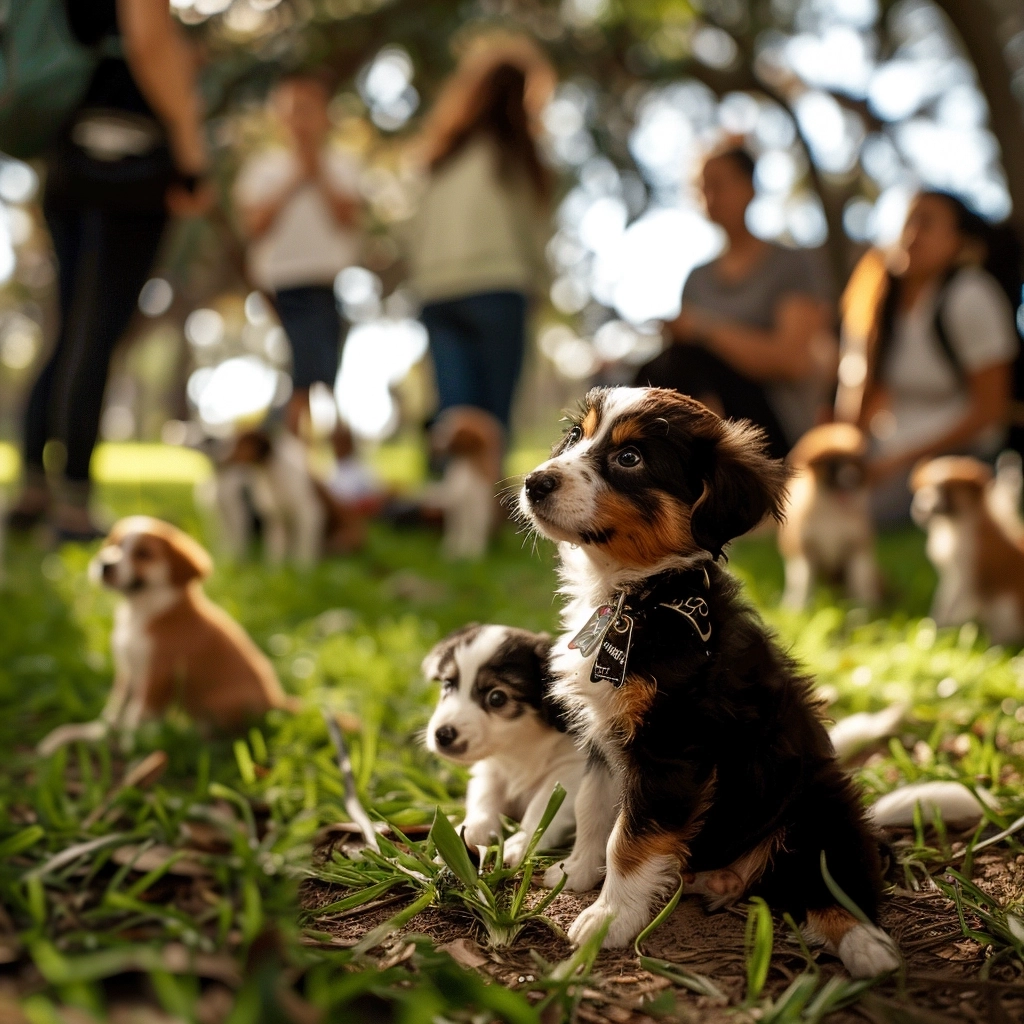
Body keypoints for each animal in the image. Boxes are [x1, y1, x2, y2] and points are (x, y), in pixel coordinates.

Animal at [37, 516, 294, 757]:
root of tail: (277, 700)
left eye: (143, 554)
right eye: (114, 545)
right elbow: (113, 712)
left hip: (220, 702)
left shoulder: (158, 674)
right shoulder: (127, 671)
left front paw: (130, 748)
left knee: (221, 733)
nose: (105, 564)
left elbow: (138, 715)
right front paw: (85, 735)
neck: (142, 612)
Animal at [421, 622, 585, 864]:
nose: (442, 735)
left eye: (497, 698)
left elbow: (541, 809)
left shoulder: (570, 772)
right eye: (448, 686)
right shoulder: (489, 772)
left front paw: (520, 843)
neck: (519, 751)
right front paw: (462, 836)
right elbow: (483, 801)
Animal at [774, 421, 880, 606]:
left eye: (856, 461)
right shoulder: (803, 551)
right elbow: (803, 582)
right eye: (832, 465)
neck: (830, 510)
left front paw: (865, 609)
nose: (853, 477)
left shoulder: (858, 549)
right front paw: (798, 608)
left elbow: (861, 583)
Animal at [913, 458, 1024, 643]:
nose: (920, 507)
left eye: (946, 490)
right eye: (925, 490)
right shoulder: (949, 576)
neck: (952, 526)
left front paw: (940, 632)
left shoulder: (966, 577)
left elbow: (950, 606)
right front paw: (933, 629)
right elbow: (940, 602)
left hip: (1005, 609)